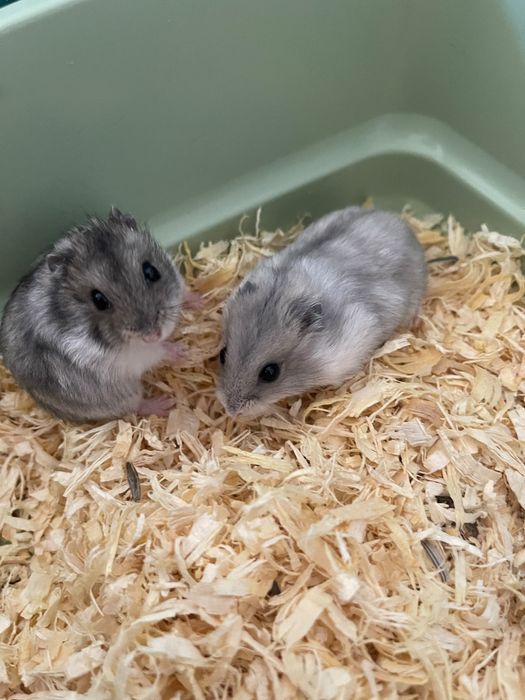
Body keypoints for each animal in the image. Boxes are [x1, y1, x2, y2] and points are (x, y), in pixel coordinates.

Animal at [0, 207, 198, 423]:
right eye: (98, 300)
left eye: (151, 271)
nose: (153, 334)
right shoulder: (125, 358)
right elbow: (157, 352)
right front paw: (184, 351)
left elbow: (182, 288)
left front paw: (199, 300)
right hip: (118, 394)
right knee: (134, 405)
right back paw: (164, 404)